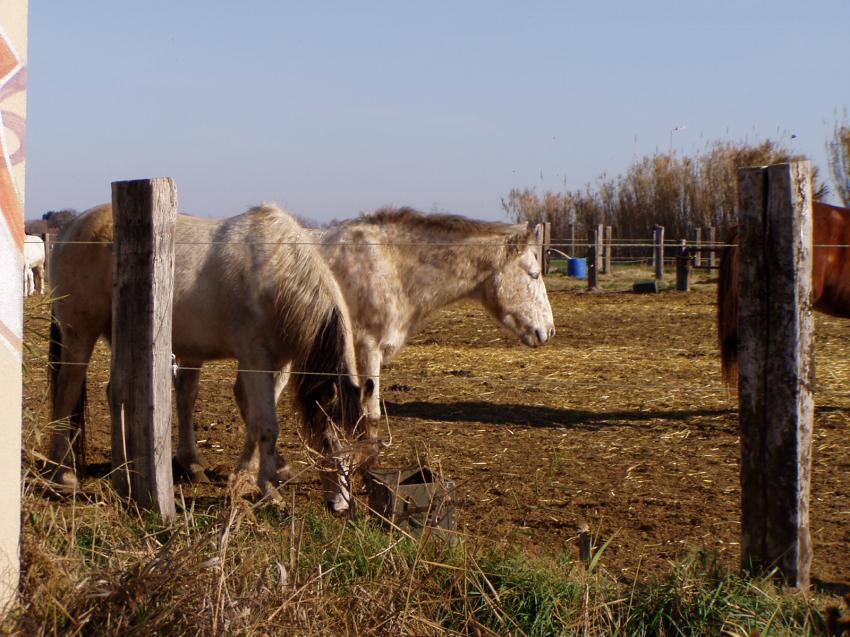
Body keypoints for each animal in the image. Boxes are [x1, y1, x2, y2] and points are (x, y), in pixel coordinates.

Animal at [47, 202, 373, 511]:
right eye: (329, 443)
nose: (340, 506)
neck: (275, 274)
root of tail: (71, 229)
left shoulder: (280, 363)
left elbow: (254, 417)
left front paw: (258, 472)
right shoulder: (256, 360)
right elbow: (266, 423)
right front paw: (269, 490)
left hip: (123, 337)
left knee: (116, 393)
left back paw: (126, 470)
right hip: (80, 334)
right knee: (67, 393)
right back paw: (62, 474)